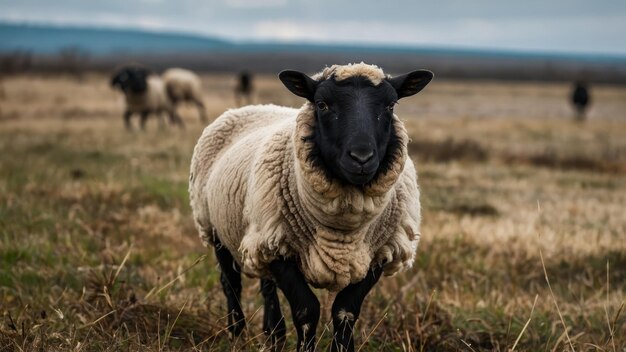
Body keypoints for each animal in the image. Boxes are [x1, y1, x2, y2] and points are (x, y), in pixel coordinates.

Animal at [189, 63, 434, 352]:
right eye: (322, 104)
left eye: (390, 105)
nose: (361, 158)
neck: (343, 229)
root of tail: (255, 105)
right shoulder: (282, 251)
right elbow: (306, 310)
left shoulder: (379, 253)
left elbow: (345, 311)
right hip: (218, 229)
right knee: (231, 284)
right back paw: (236, 333)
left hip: (260, 231)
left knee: (267, 286)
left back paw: (273, 335)